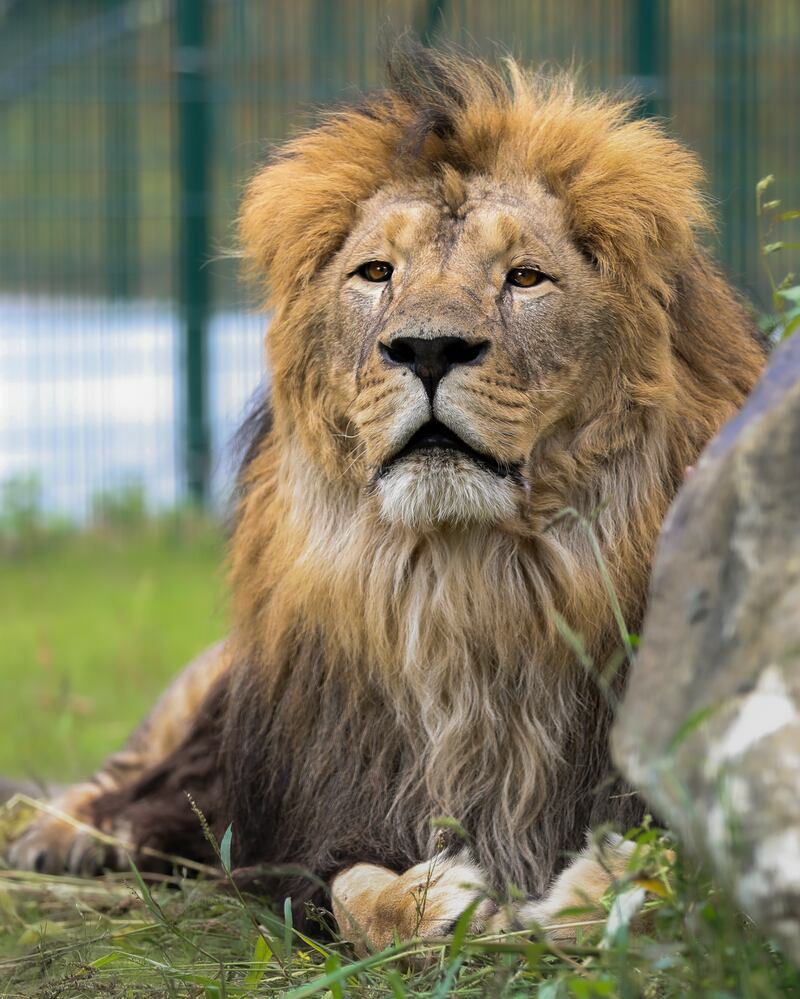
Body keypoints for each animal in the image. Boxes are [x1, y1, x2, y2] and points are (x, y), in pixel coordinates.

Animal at [9, 47, 764, 952]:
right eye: (377, 273)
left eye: (525, 277)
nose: (428, 348)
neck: (471, 583)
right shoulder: (301, 832)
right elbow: (354, 893)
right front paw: (438, 900)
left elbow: (678, 869)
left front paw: (590, 895)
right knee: (122, 774)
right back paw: (58, 834)